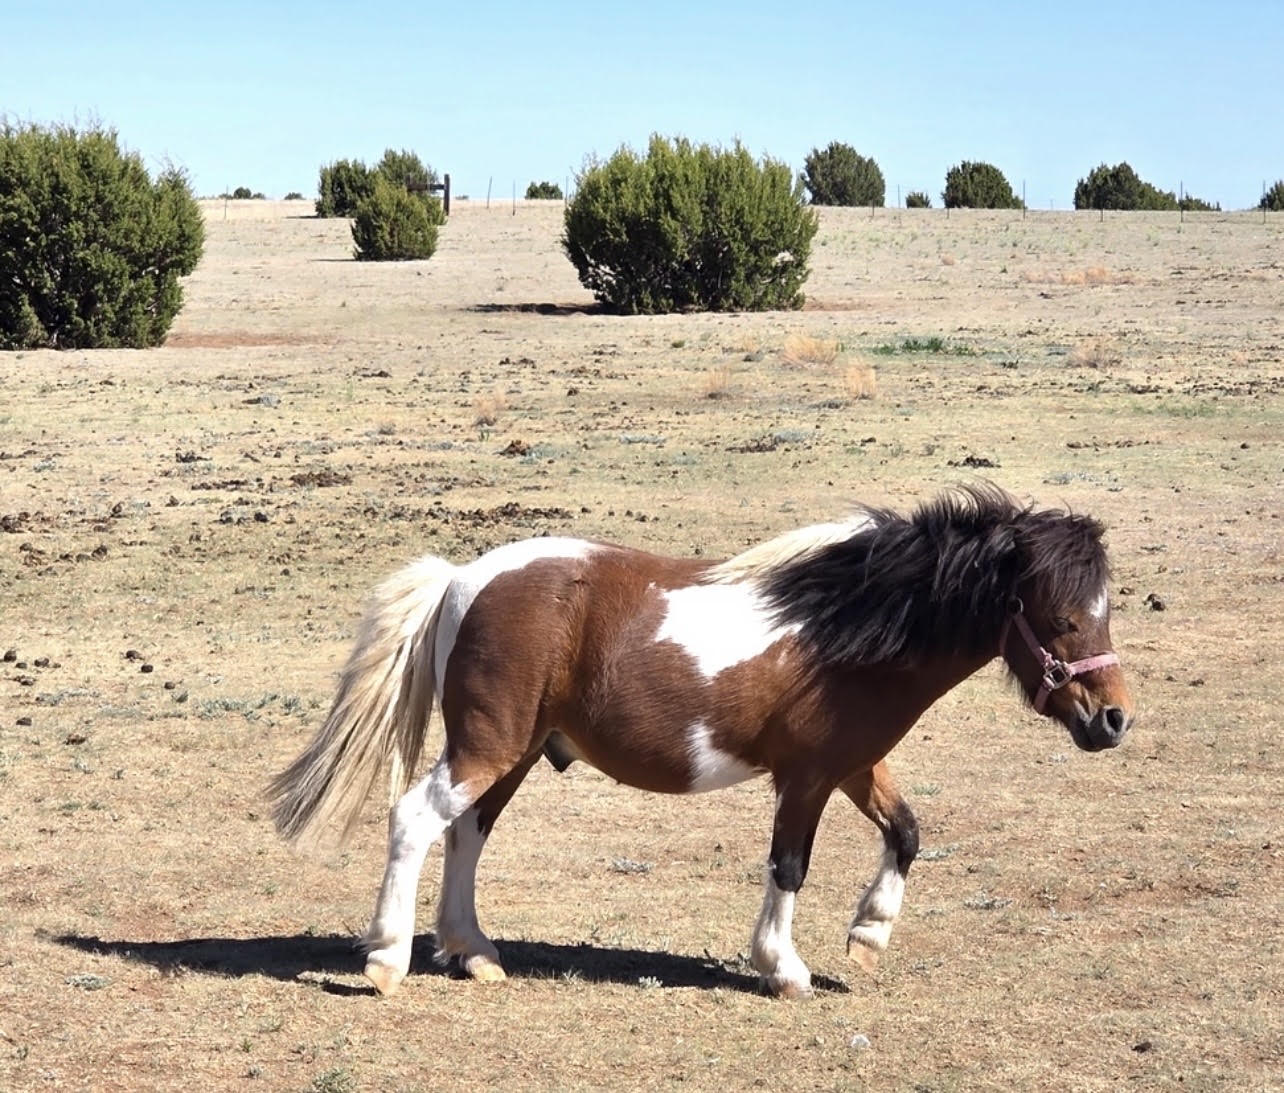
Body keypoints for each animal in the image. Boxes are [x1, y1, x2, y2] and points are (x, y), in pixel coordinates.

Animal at [268, 484, 1134, 999]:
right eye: (1062, 618)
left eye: (1106, 609)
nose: (1114, 719)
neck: (844, 628)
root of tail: (460, 578)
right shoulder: (807, 776)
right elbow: (789, 866)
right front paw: (784, 967)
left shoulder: (856, 764)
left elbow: (908, 832)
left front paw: (868, 933)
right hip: (488, 745)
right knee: (417, 819)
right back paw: (387, 960)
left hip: (510, 752)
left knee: (467, 833)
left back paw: (474, 950)